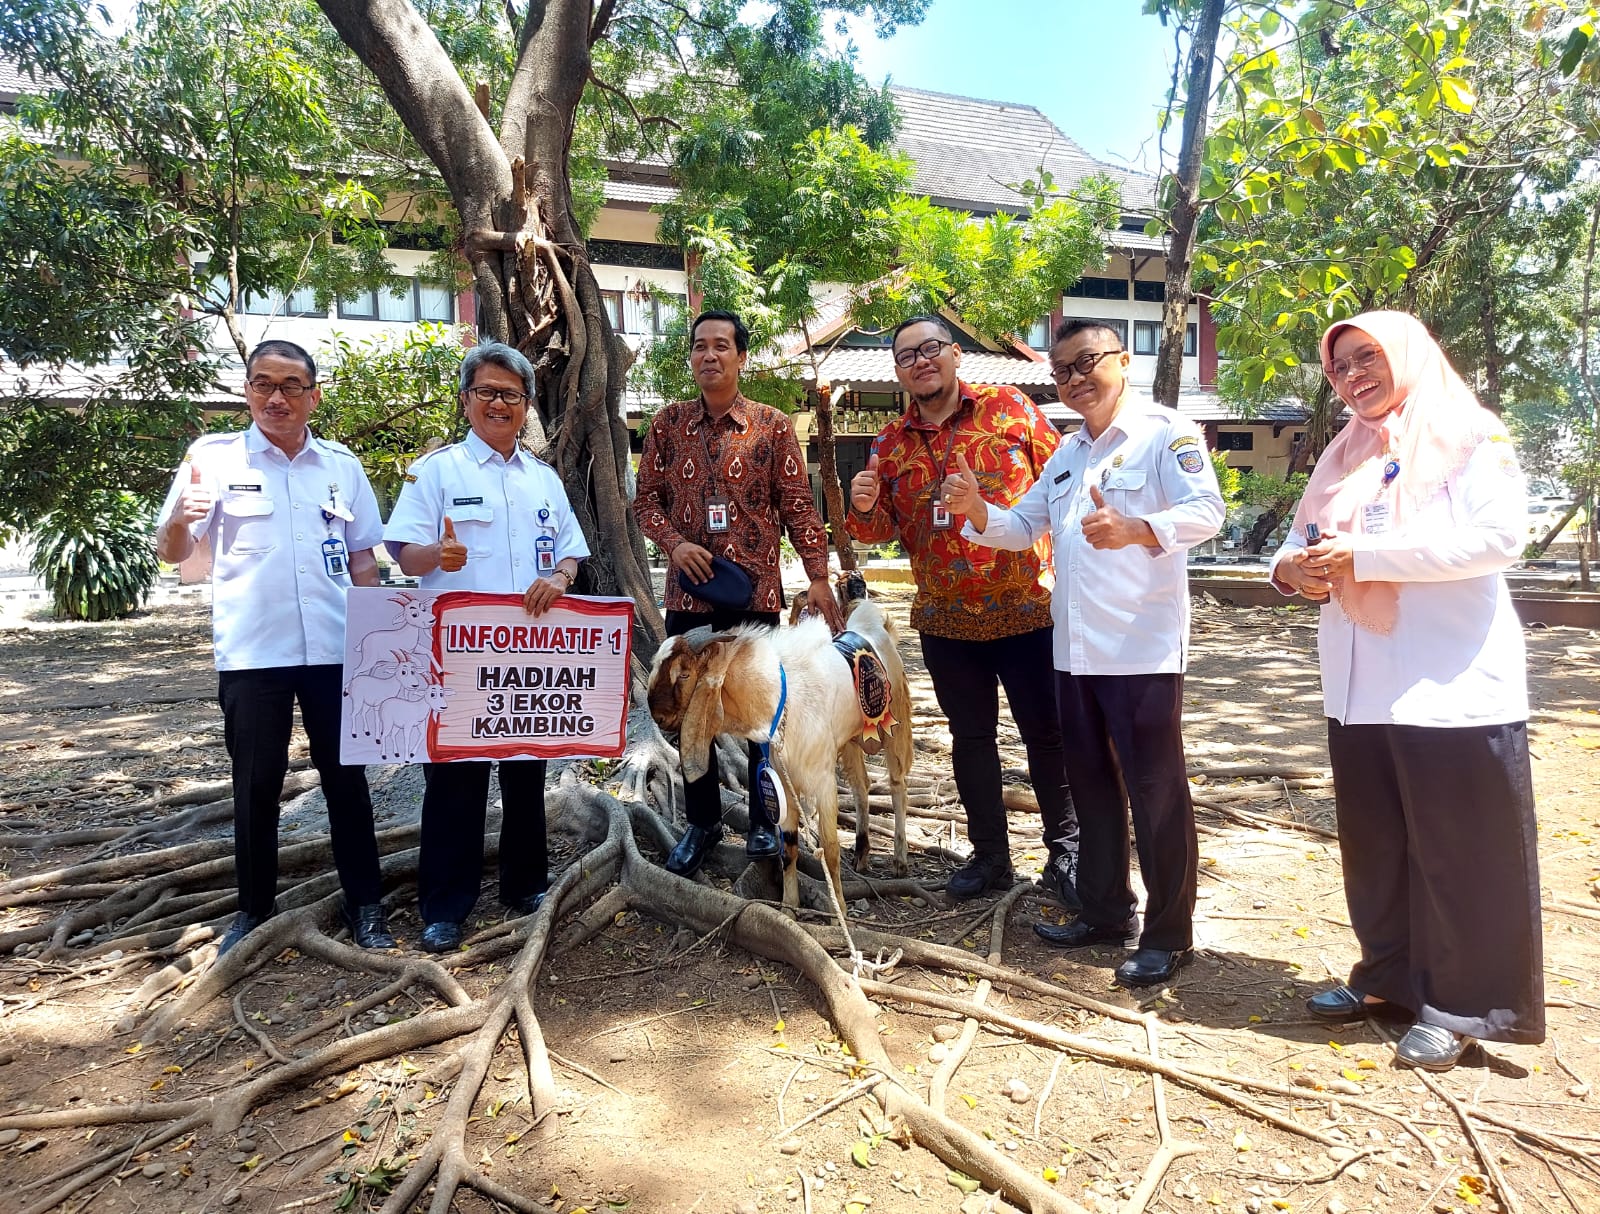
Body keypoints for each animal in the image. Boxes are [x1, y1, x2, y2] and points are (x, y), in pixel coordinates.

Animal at [643, 598, 908, 908]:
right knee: (861, 787)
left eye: (684, 674)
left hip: (896, 727)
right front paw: (790, 905)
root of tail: (873, 624)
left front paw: (839, 908)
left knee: (897, 785)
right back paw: (862, 853)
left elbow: (830, 850)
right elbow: (789, 846)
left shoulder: (822, 780)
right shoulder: (782, 779)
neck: (781, 697)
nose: (657, 716)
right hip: (853, 740)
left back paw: (900, 860)